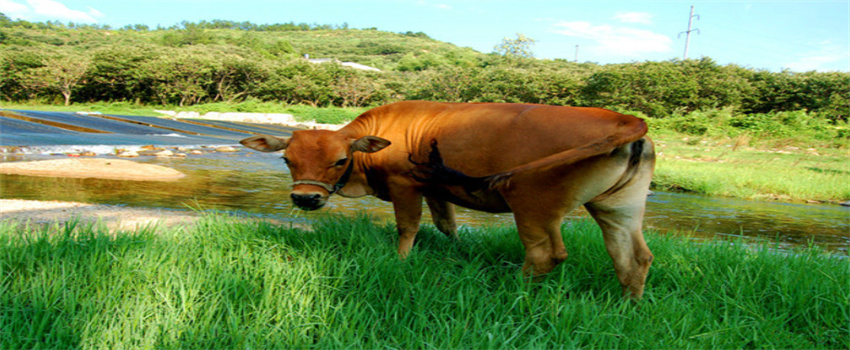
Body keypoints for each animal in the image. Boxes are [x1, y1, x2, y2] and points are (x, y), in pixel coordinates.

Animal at [238, 100, 656, 300]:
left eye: (340, 160)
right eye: (287, 160)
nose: (305, 198)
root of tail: (625, 119)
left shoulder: (405, 186)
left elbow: (407, 227)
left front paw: (400, 261)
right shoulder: (437, 191)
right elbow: (447, 226)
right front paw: (457, 254)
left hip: (533, 206)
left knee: (546, 255)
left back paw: (512, 290)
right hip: (617, 208)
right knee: (633, 257)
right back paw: (627, 306)